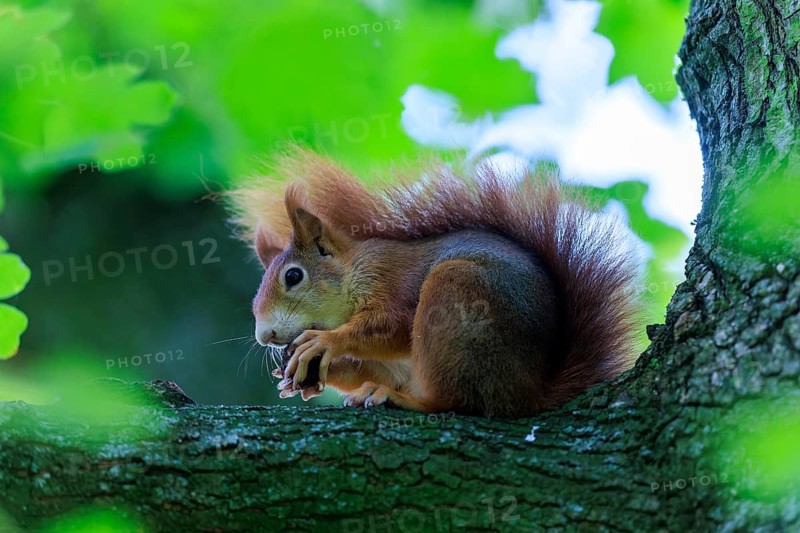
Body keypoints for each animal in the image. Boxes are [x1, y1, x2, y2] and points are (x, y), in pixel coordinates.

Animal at [228, 149, 639, 418]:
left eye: (293, 276)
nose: (264, 337)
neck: (354, 270)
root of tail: (529, 394)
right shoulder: (392, 365)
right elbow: (372, 364)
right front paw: (304, 374)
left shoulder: (390, 282)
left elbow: (392, 327)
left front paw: (324, 342)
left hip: (456, 298)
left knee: (460, 403)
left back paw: (406, 400)